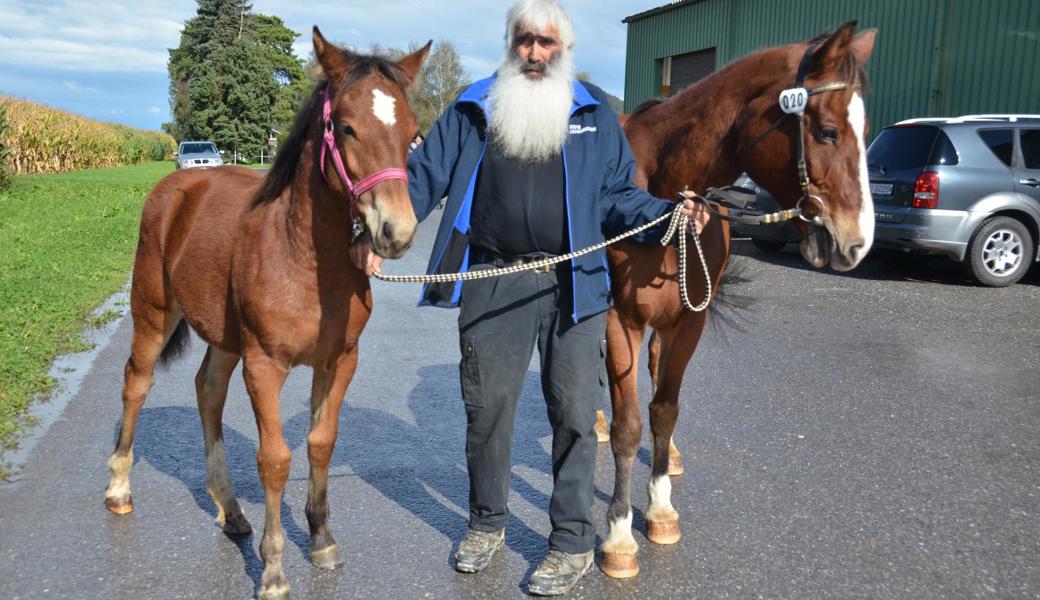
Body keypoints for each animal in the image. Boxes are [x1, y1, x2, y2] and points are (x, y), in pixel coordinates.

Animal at [103, 29, 428, 598]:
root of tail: (176, 188)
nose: (398, 232)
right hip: (154, 312)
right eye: (346, 127)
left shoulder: (340, 360)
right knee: (137, 383)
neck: (304, 259)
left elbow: (321, 443)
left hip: (224, 337)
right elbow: (274, 460)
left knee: (208, 390)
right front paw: (274, 571)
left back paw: (231, 511)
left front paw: (321, 541)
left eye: (411, 134)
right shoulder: (265, 365)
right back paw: (120, 488)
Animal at [603, 22, 877, 574]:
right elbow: (627, 425)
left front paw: (660, 508)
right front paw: (619, 535)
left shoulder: (689, 321)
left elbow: (664, 409)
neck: (661, 200)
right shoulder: (620, 320)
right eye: (827, 131)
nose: (857, 243)